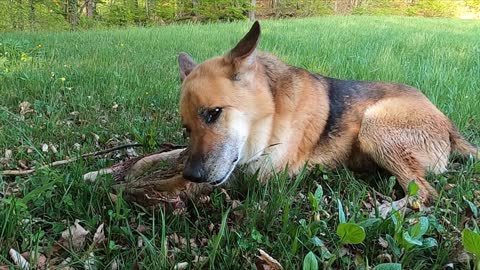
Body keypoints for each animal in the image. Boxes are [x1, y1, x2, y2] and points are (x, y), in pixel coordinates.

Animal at [175, 20, 476, 202]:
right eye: (186, 128)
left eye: (214, 113)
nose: (192, 174)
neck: (272, 111)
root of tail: (448, 123)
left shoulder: (257, 176)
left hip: (374, 126)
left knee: (424, 194)